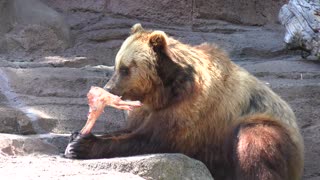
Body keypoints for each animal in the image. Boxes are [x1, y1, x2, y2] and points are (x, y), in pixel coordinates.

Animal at [64, 23, 302, 180]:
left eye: (125, 69)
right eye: (116, 66)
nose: (109, 88)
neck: (166, 91)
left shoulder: (190, 108)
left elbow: (152, 139)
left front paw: (81, 146)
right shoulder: (147, 109)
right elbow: (131, 129)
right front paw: (77, 135)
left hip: (266, 128)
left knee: (255, 143)